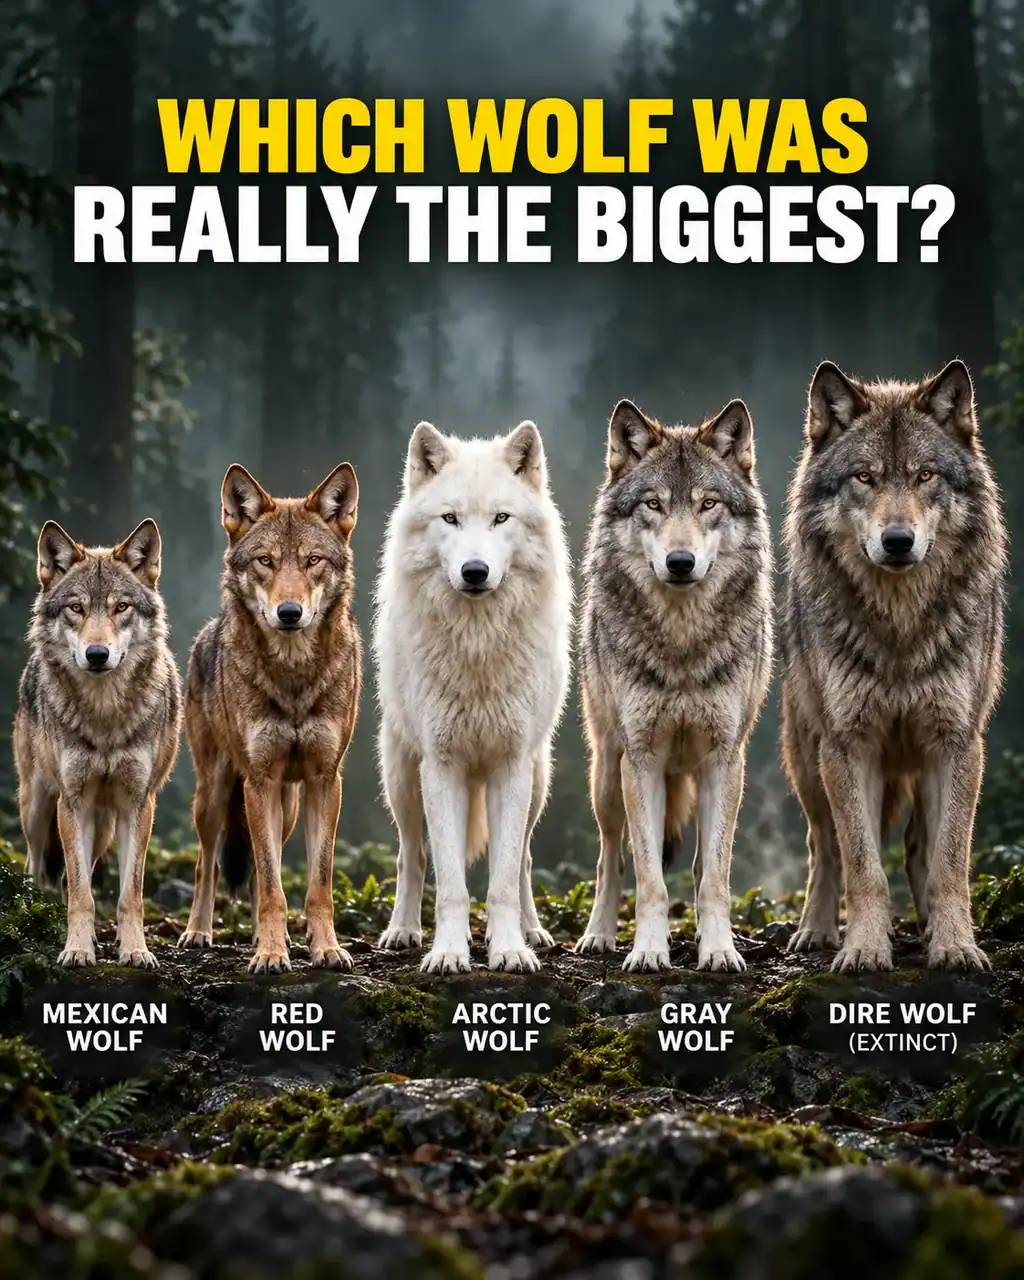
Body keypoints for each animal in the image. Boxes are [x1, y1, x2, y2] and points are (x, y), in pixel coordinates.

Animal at [14, 520, 182, 968]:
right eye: (76, 608)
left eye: (121, 607)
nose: (96, 654)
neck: (105, 715)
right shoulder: (72, 801)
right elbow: (79, 892)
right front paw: (76, 949)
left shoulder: (138, 803)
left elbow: (130, 893)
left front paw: (136, 950)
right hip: (38, 804)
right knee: (37, 863)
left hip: (104, 823)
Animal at [179, 462, 362, 974]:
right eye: (265, 561)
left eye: (313, 561)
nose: (289, 612)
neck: (293, 676)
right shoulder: (258, 781)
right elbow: (268, 883)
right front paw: (271, 955)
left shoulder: (326, 781)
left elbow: (317, 884)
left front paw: (326, 949)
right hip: (216, 794)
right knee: (208, 863)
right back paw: (198, 932)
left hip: (288, 808)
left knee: (271, 862)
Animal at [374, 421, 572, 975]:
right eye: (451, 518)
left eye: (501, 518)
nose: (475, 571)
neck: (478, 646)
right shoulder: (441, 767)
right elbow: (451, 886)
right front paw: (447, 952)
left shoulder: (511, 764)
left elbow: (501, 880)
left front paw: (509, 949)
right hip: (401, 778)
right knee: (412, 855)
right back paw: (402, 931)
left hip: (539, 782)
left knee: (523, 859)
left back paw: (534, 931)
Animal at [575, 398, 773, 973]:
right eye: (653, 505)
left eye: (708, 504)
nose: (680, 562)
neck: (683, 646)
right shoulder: (641, 760)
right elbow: (648, 880)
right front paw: (647, 951)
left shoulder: (725, 759)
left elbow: (715, 879)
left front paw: (720, 950)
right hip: (606, 775)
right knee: (609, 860)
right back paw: (597, 936)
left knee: (704, 864)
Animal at [782, 360, 1006, 973]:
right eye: (865, 478)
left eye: (925, 475)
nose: (898, 540)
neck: (901, 628)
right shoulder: (848, 745)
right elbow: (862, 865)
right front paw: (863, 947)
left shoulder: (957, 743)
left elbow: (950, 863)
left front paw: (956, 945)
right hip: (808, 761)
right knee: (823, 847)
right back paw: (815, 930)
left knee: (918, 850)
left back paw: (930, 927)